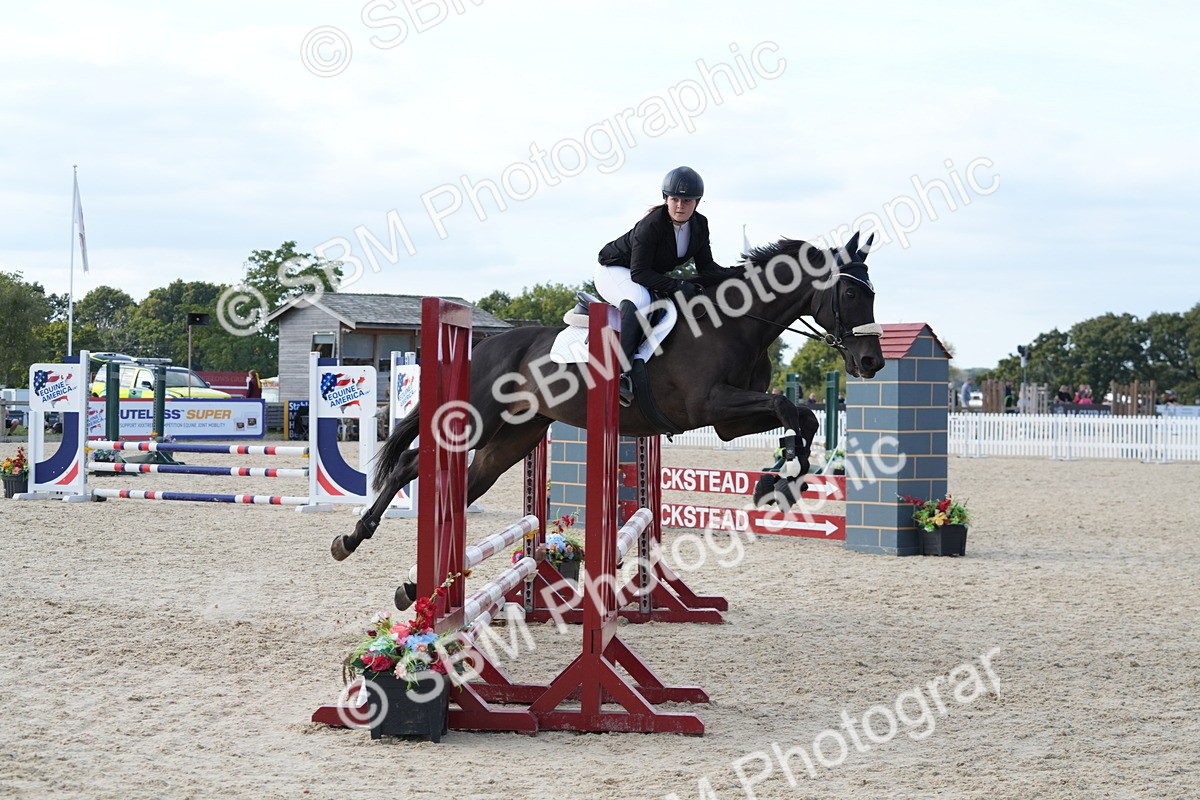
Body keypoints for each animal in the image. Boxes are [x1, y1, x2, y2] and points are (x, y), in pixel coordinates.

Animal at [331, 231, 885, 561]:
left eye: (872, 292)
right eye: (851, 293)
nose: (871, 363)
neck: (735, 323)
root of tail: (484, 346)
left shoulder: (729, 419)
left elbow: (801, 418)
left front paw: (781, 481)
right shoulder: (710, 406)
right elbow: (788, 407)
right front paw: (781, 481)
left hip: (512, 439)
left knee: (465, 485)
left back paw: (417, 584)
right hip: (479, 421)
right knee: (412, 464)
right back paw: (353, 537)